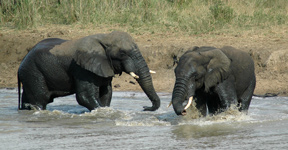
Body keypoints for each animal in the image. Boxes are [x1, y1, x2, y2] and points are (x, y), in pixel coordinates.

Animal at [17, 30, 162, 111]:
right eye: (122, 53)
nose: (144, 108)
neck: (105, 37)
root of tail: (19, 66)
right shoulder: (82, 69)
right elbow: (84, 97)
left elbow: (106, 93)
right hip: (33, 73)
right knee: (40, 100)